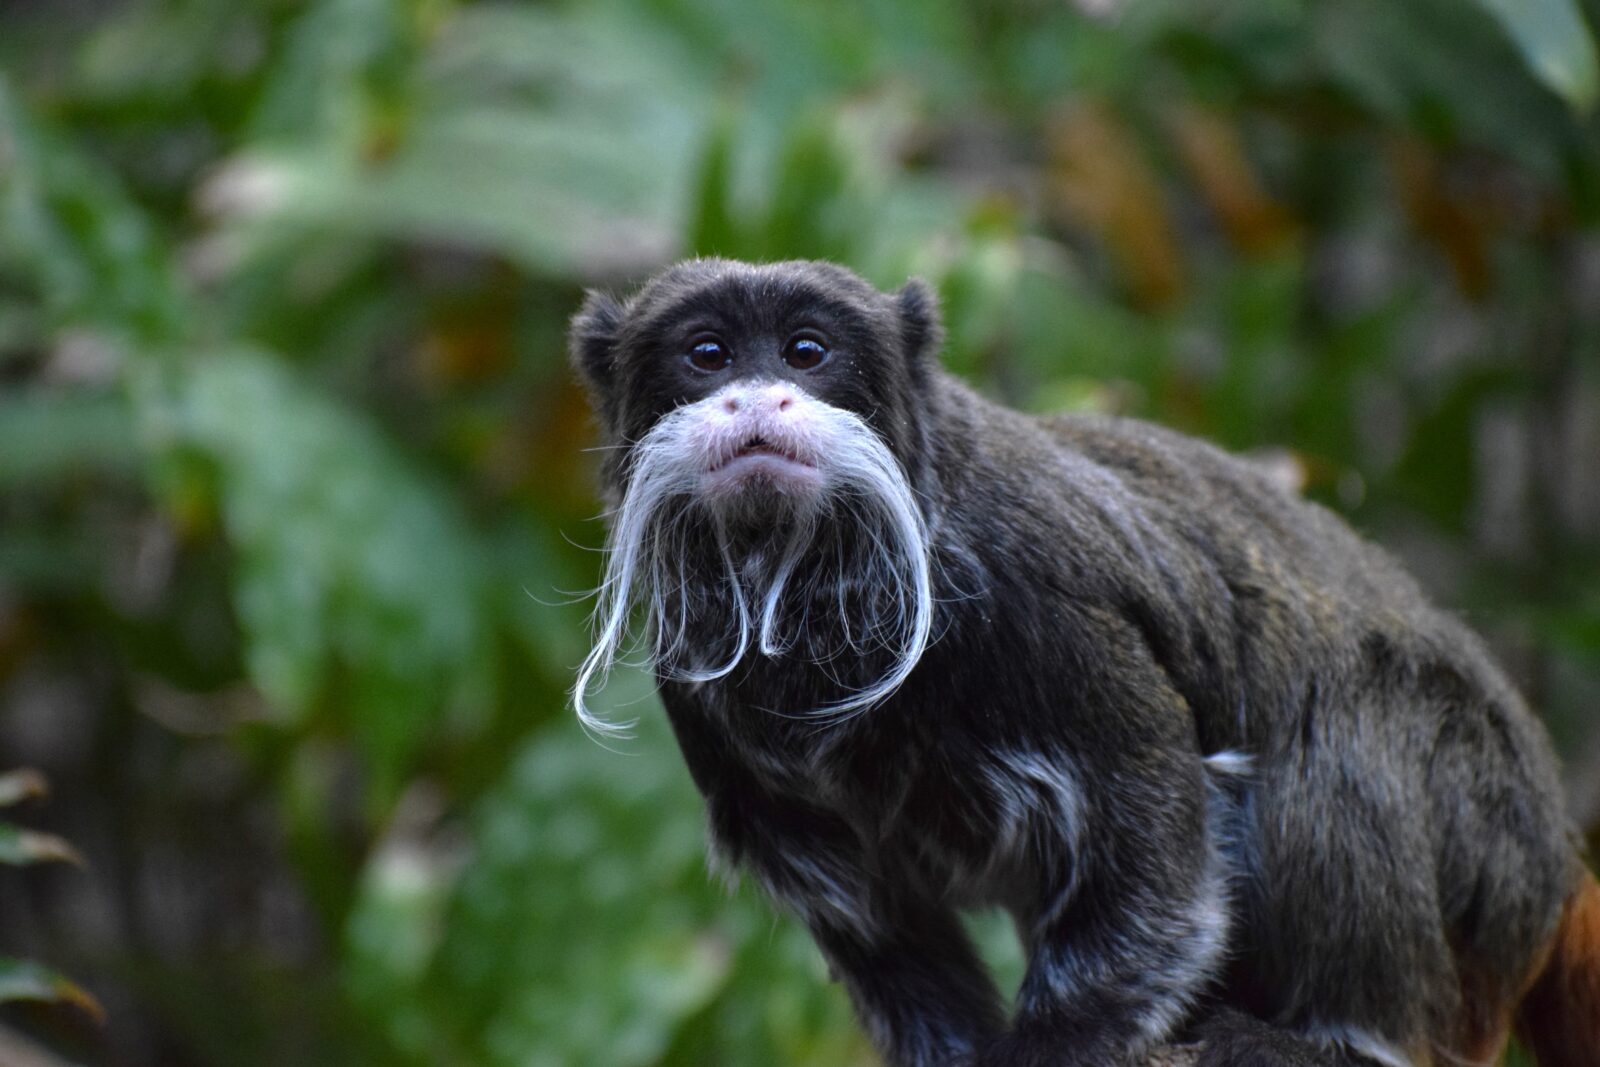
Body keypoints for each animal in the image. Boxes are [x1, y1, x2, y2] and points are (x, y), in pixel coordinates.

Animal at [569, 260, 1593, 1067]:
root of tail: (1554, 865)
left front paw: (1054, 1044)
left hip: (1483, 832)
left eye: (806, 351)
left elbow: (1154, 824)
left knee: (1337, 730)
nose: (757, 399)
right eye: (708, 355)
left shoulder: (1039, 595)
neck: (812, 586)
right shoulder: (704, 700)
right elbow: (879, 924)